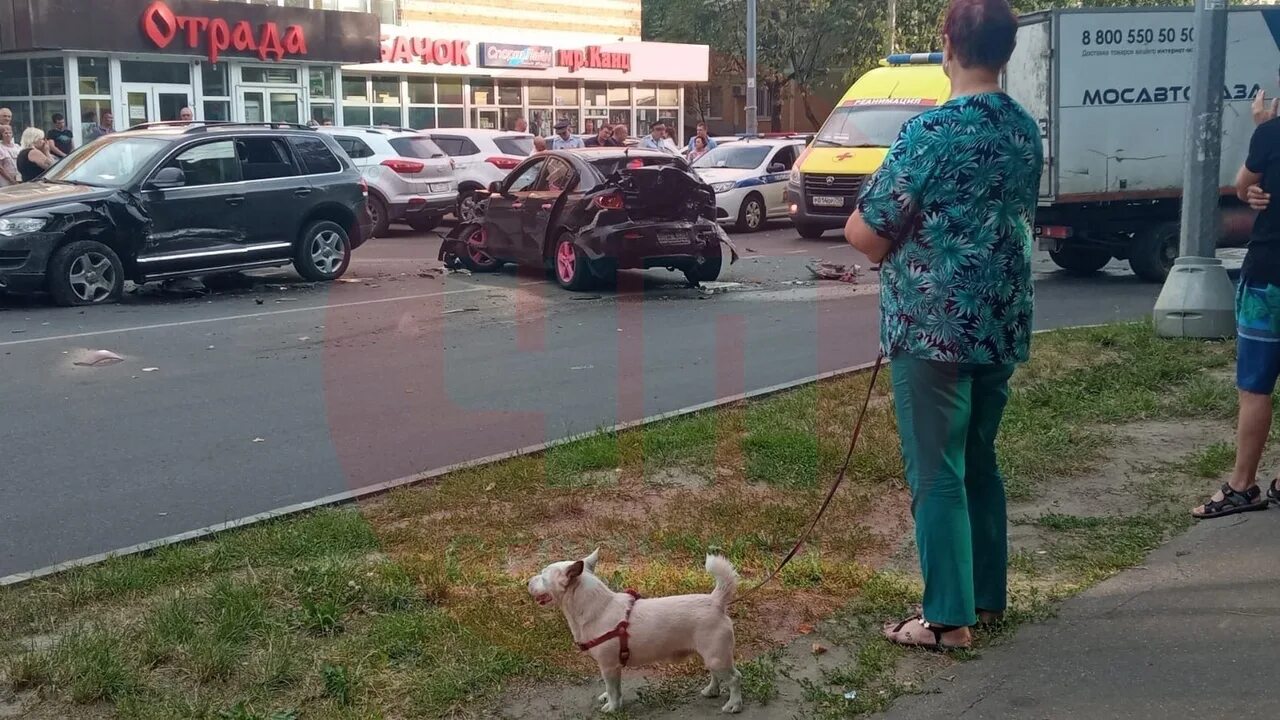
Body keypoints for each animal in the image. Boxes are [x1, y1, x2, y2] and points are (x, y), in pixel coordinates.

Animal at [527, 548, 747, 712]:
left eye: (543, 577)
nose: (527, 581)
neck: (598, 606)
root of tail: (715, 601)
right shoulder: (613, 668)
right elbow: (613, 688)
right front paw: (612, 700)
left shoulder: (608, 666)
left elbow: (612, 689)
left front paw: (612, 707)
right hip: (710, 656)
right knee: (716, 675)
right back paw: (711, 691)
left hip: (716, 656)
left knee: (735, 678)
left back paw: (734, 704)